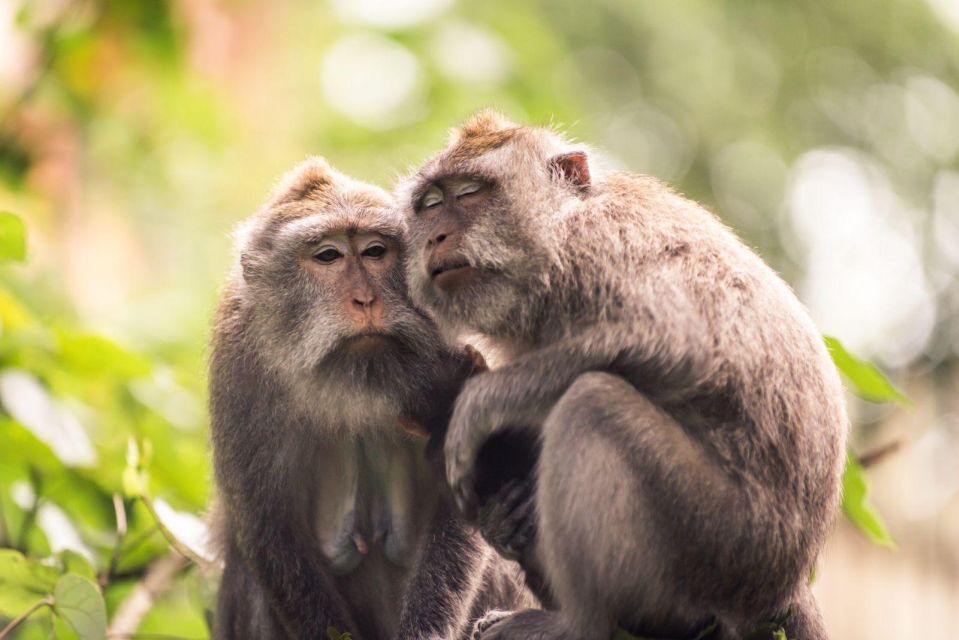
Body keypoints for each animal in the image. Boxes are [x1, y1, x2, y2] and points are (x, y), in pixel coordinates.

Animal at [208, 156, 532, 640]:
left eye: (375, 251)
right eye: (328, 255)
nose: (365, 299)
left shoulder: (458, 348)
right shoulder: (238, 364)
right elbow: (269, 527)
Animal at [396, 112, 848, 640]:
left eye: (469, 193)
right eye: (430, 204)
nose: (436, 238)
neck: (560, 229)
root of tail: (785, 586)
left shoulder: (602, 244)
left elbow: (681, 342)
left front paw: (478, 406)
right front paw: (506, 511)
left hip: (722, 541)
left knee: (593, 403)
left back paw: (577, 623)